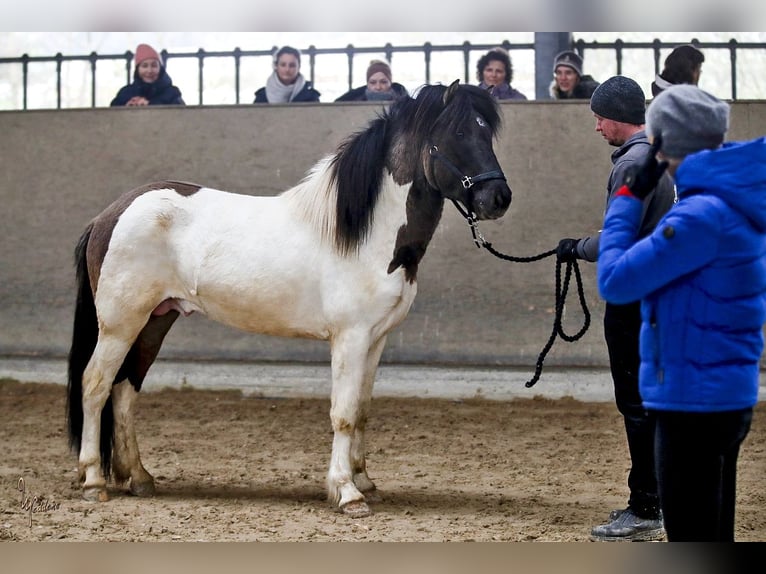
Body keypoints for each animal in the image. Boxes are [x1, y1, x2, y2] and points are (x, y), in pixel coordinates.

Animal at [64, 80, 510, 516]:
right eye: (457, 133)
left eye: (487, 132)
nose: (499, 198)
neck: (367, 234)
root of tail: (110, 214)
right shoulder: (350, 338)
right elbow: (343, 413)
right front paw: (347, 492)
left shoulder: (376, 339)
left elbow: (362, 410)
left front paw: (364, 480)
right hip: (121, 324)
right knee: (95, 385)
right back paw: (94, 481)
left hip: (155, 321)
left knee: (124, 391)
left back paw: (139, 478)